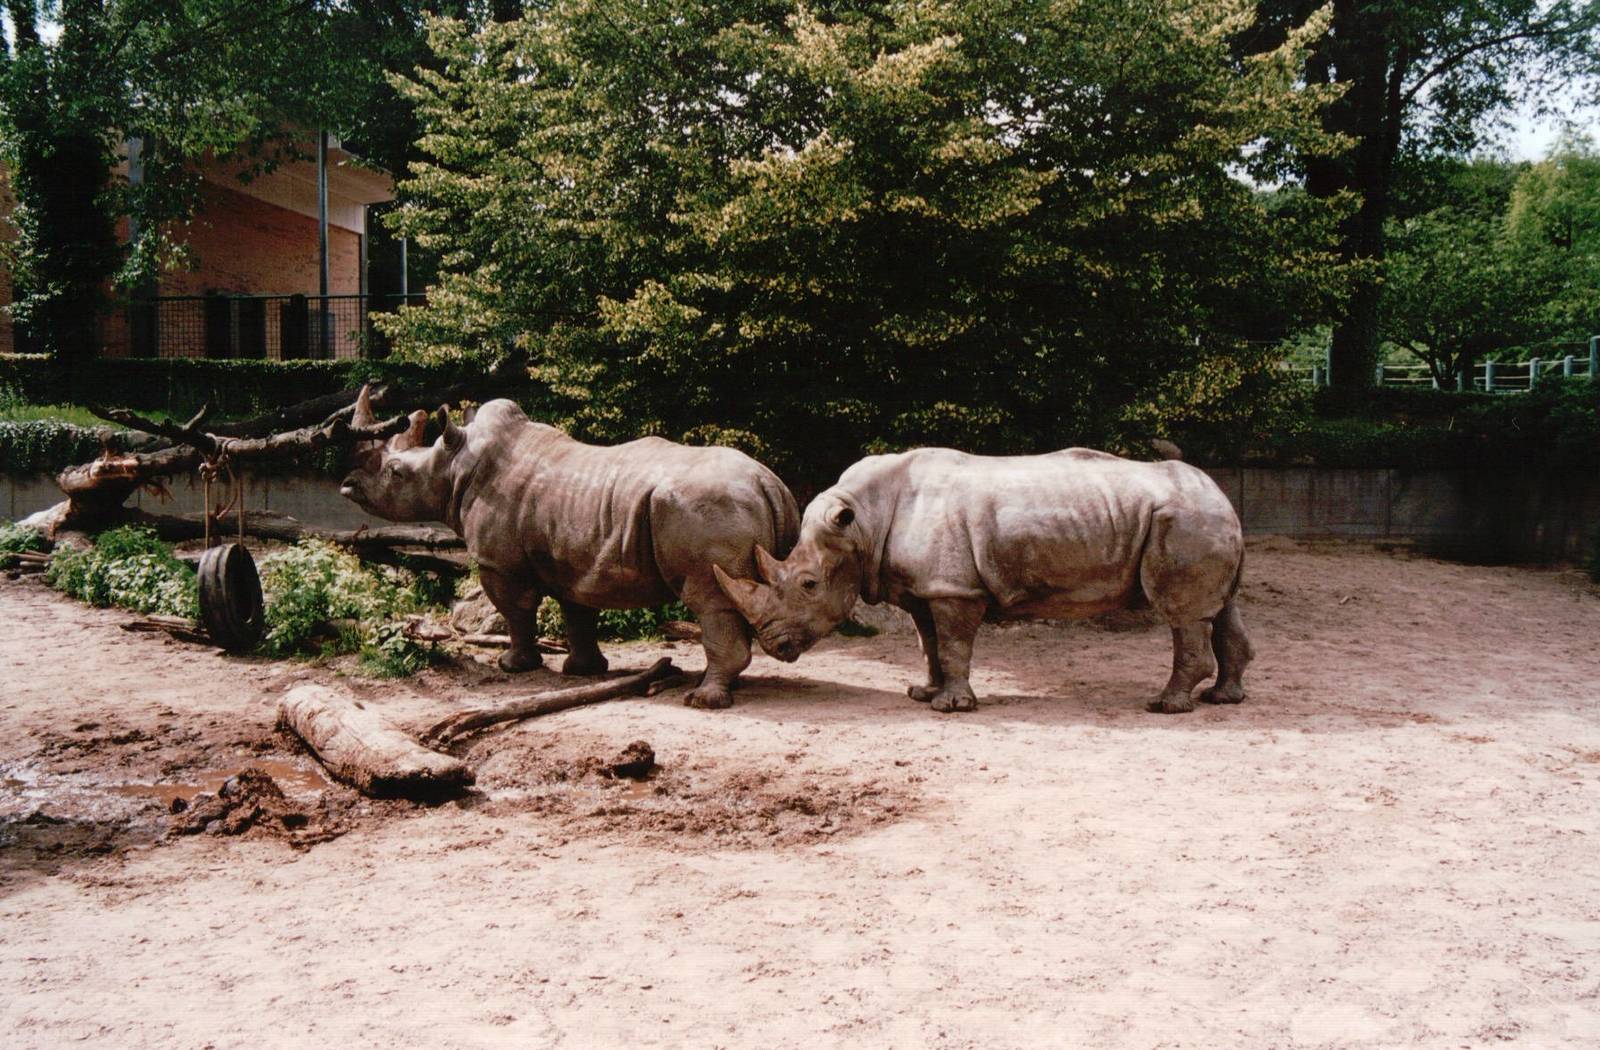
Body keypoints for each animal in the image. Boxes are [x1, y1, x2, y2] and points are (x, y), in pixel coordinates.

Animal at [339, 388, 799, 708]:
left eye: (396, 472)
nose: (347, 485)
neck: (455, 466)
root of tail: (768, 483)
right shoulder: (575, 559)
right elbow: (578, 613)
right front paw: (583, 671)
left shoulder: (499, 563)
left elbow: (516, 611)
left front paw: (513, 666)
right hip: (742, 508)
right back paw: (716, 684)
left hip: (709, 510)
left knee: (711, 598)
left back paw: (703, 699)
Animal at [713, 447, 1252, 714]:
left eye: (807, 585)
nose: (774, 645)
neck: (861, 524)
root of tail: (1223, 494)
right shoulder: (924, 588)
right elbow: (929, 644)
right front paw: (924, 695)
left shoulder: (954, 588)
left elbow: (953, 643)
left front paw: (951, 708)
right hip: (1201, 519)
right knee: (1221, 610)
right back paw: (1223, 698)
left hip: (1184, 521)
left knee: (1182, 615)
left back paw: (1166, 706)